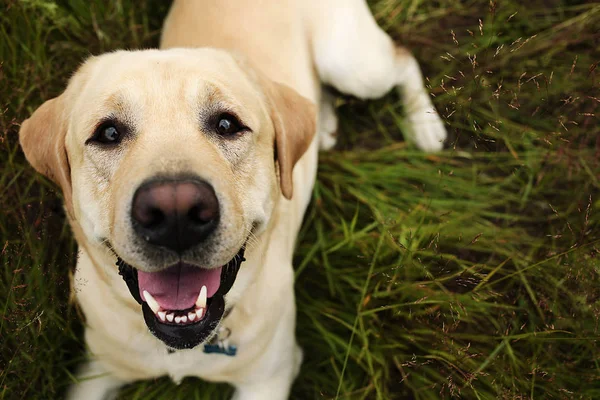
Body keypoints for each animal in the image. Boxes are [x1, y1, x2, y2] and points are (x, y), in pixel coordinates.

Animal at [19, 0, 446, 400]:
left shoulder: (269, 378)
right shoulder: (95, 370)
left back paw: (425, 126)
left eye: (227, 124)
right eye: (108, 133)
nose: (176, 214)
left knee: (403, 60)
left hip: (353, 64)